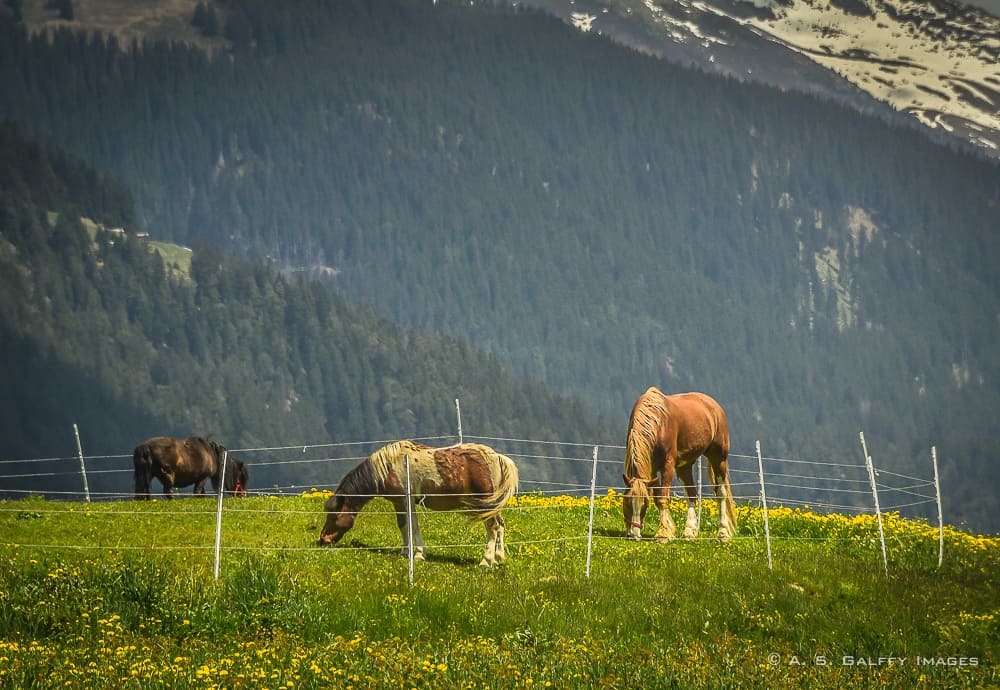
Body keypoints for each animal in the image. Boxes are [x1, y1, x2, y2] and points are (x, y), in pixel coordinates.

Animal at [318, 440, 524, 564]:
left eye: (333, 515)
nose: (322, 540)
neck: (388, 467)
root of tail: (497, 457)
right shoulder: (399, 503)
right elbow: (403, 525)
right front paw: (405, 551)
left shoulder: (406, 501)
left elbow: (411, 526)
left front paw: (417, 554)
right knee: (500, 526)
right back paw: (499, 557)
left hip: (485, 505)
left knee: (493, 528)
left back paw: (486, 560)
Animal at [624, 388, 736, 544]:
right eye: (626, 502)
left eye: (644, 504)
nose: (634, 534)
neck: (658, 424)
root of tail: (714, 406)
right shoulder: (652, 472)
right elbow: (657, 498)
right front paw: (668, 529)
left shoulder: (668, 466)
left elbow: (662, 498)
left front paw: (664, 534)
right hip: (685, 466)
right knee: (692, 494)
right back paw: (690, 531)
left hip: (719, 459)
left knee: (721, 493)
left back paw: (723, 533)